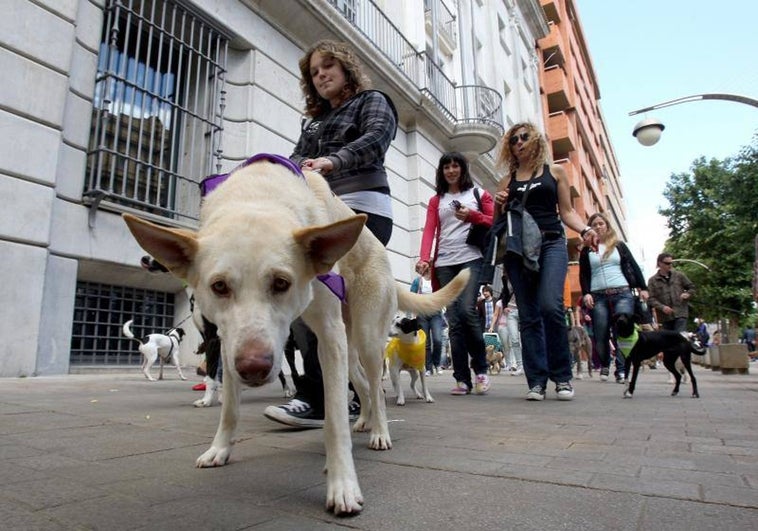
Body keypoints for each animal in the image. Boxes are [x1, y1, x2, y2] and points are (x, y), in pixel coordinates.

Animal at [123, 157, 470, 516]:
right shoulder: (229, 340)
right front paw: (219, 449)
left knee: (376, 387)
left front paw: (342, 485)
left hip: (367, 339)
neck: (259, 194)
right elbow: (229, 407)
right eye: (218, 286)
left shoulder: (328, 333)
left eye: (281, 282)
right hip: (346, 348)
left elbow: (334, 421)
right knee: (361, 384)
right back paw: (364, 421)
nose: (253, 369)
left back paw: (379, 432)